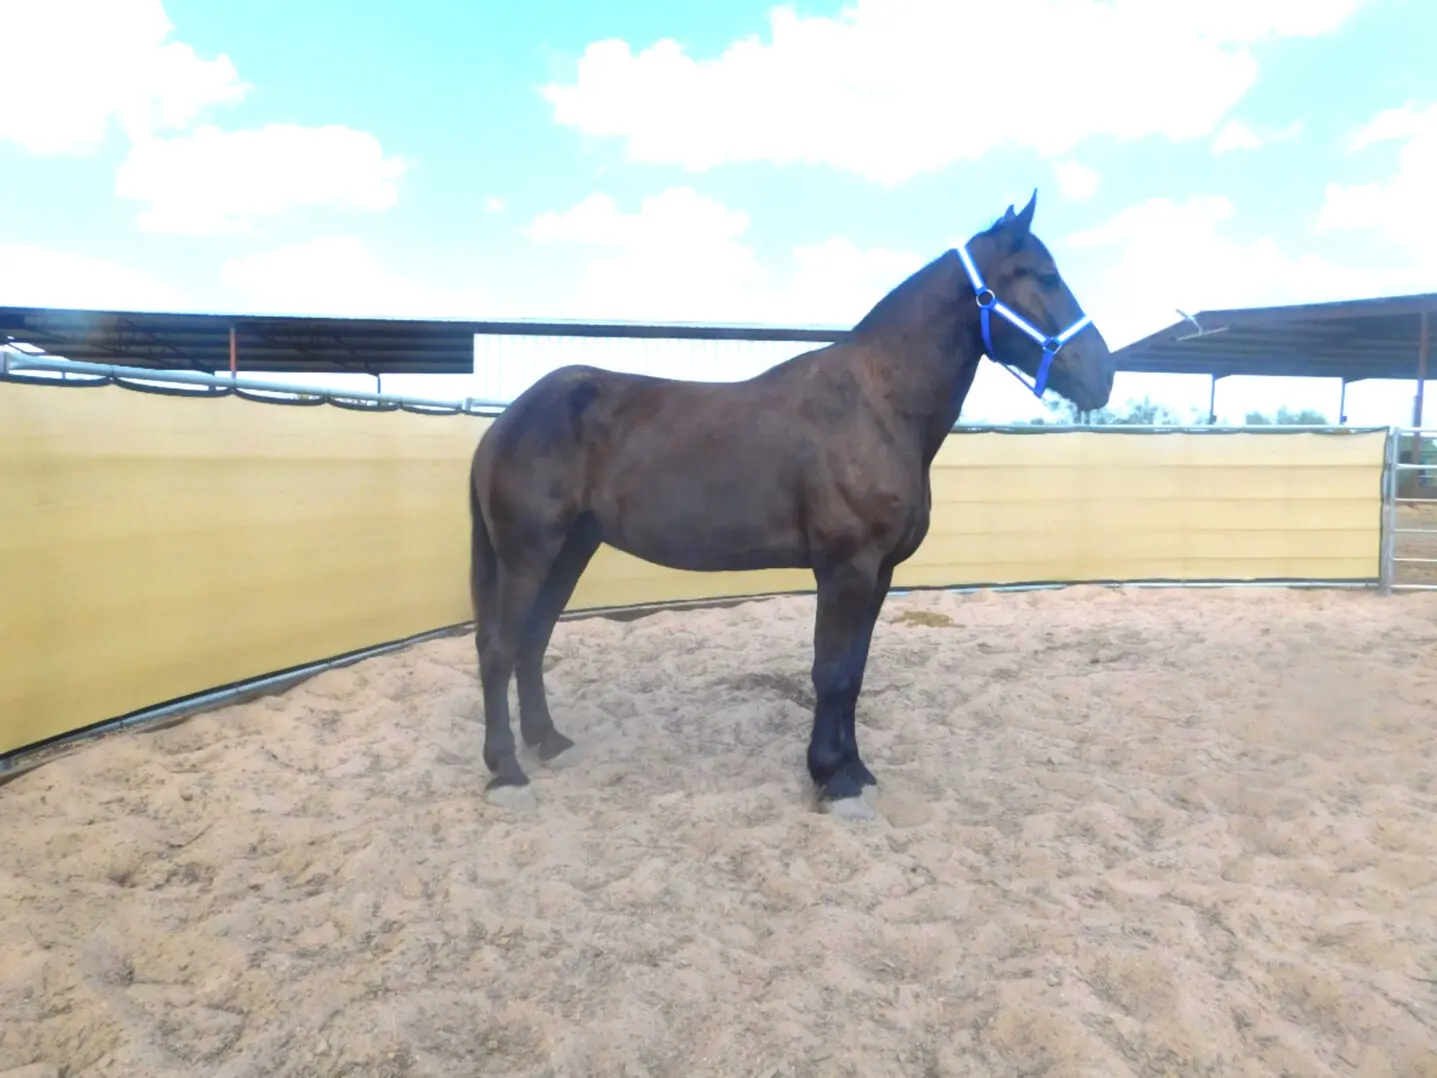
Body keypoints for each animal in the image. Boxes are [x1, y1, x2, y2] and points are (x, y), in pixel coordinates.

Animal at [467, 191, 1115, 816]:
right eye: (1045, 276)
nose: (1103, 375)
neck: (877, 404)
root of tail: (508, 420)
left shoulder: (879, 573)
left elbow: (853, 673)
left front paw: (854, 770)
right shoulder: (845, 568)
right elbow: (830, 673)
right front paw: (833, 779)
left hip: (572, 548)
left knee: (533, 640)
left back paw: (549, 742)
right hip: (529, 553)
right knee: (501, 648)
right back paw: (508, 772)